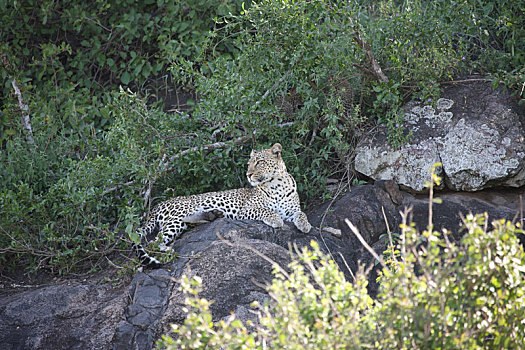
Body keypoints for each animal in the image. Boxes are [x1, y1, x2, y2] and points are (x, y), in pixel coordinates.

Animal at [135, 142, 314, 266]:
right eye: (249, 164)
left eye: (259, 162)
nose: (248, 174)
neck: (277, 185)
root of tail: (157, 206)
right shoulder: (245, 210)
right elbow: (264, 210)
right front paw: (276, 219)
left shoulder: (291, 210)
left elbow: (302, 213)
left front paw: (305, 225)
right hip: (178, 216)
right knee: (153, 242)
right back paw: (168, 249)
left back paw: (213, 214)